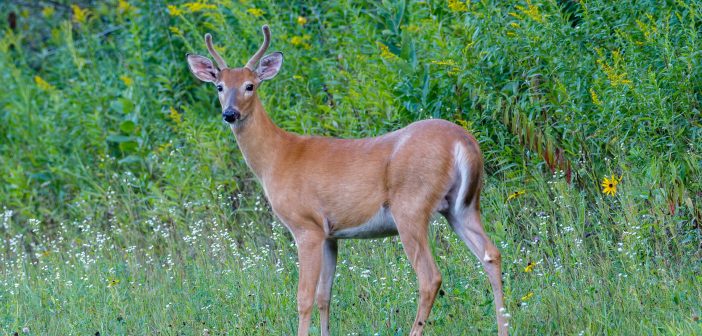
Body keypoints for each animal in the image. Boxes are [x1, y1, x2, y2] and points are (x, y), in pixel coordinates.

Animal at [184, 24, 508, 336]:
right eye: (219, 86)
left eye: (250, 85)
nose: (230, 113)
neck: (276, 157)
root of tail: (463, 141)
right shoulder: (330, 234)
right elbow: (324, 296)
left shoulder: (307, 226)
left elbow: (304, 297)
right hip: (462, 206)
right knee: (491, 254)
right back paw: (503, 326)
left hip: (411, 206)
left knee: (430, 277)